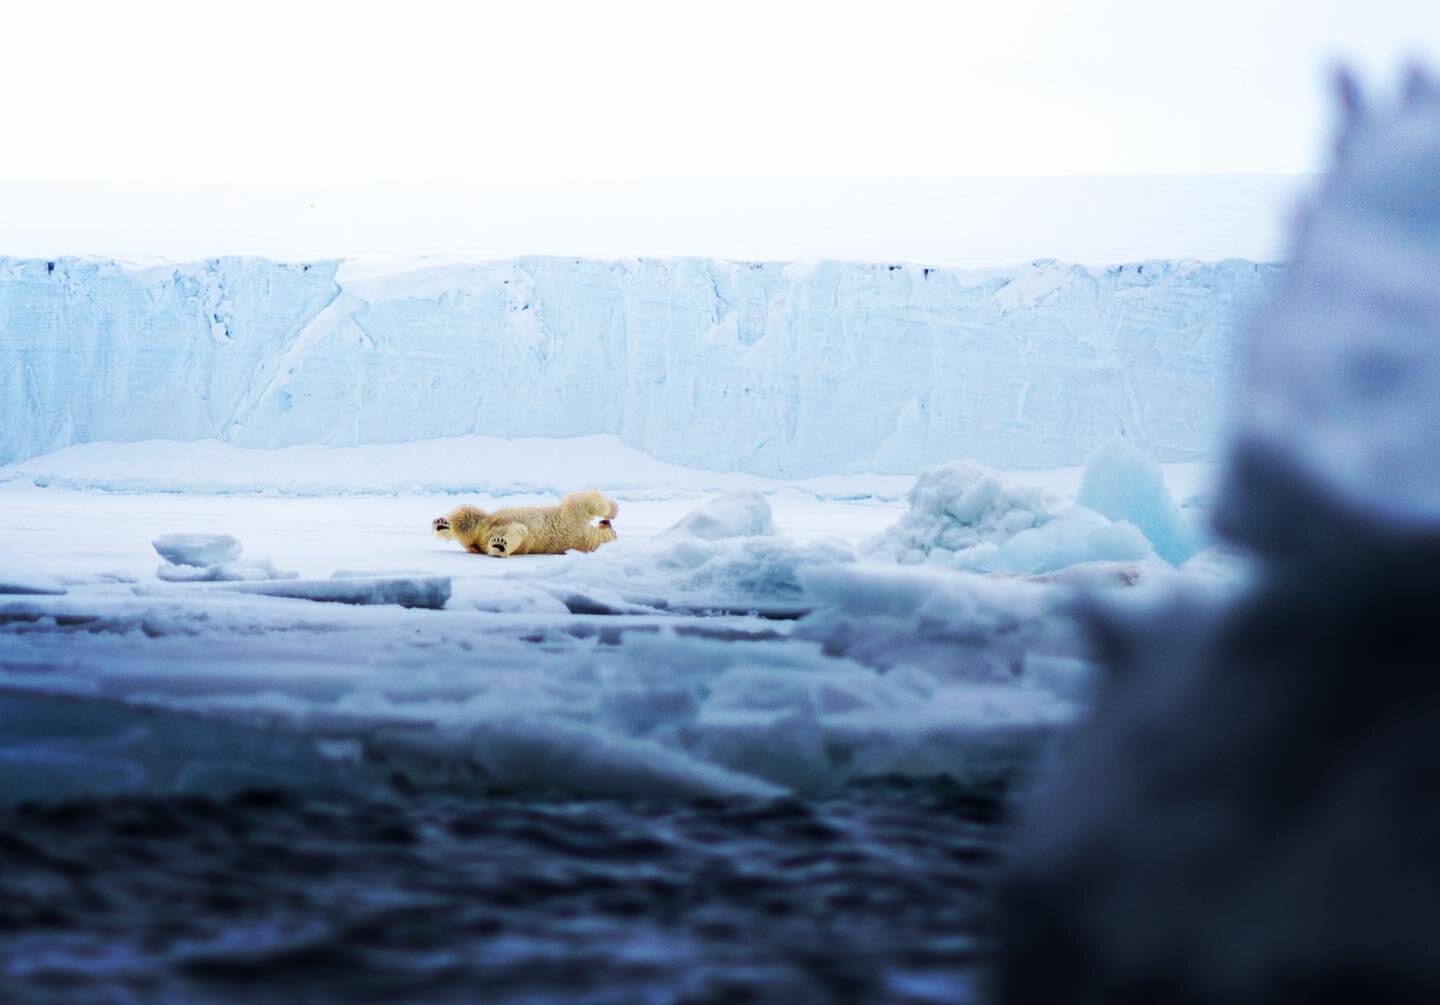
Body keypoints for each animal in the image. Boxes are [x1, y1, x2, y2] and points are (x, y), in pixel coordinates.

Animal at [429, 486, 616, 555]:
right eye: (615, 532)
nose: (607, 522)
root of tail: (478, 542)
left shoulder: (575, 521)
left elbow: (579, 499)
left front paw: (613, 509)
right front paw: (613, 510)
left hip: (513, 534)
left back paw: (499, 545)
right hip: (488, 522)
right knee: (467, 516)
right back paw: (442, 524)